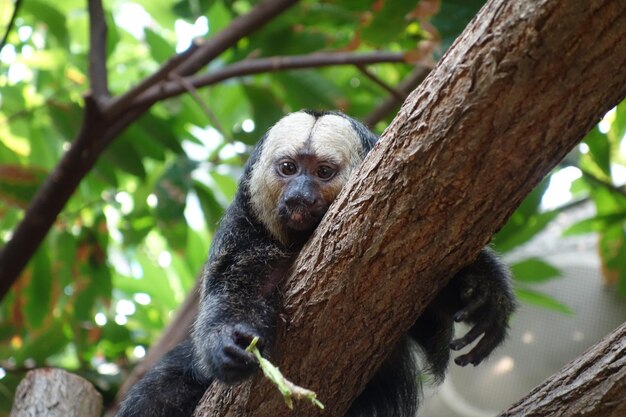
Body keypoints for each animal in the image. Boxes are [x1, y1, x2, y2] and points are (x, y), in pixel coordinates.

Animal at [116, 109, 512, 414]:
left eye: (323, 172)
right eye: (288, 168)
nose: (299, 196)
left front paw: (482, 288)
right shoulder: (242, 236)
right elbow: (232, 292)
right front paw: (228, 341)